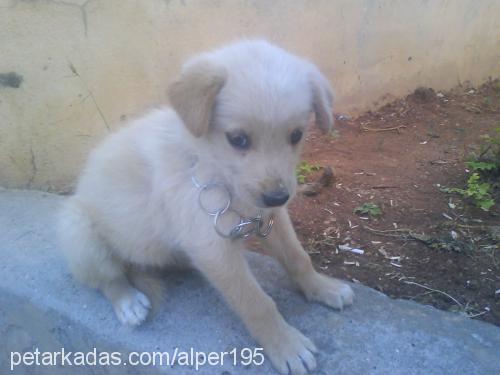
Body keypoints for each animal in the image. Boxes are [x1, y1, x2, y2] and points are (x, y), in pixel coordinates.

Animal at [58, 39, 354, 374]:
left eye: (296, 135)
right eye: (238, 139)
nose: (278, 197)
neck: (210, 168)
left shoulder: (268, 218)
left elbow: (297, 257)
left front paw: (323, 288)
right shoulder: (212, 246)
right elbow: (255, 301)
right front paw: (286, 344)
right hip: (77, 231)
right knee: (108, 278)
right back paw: (128, 301)